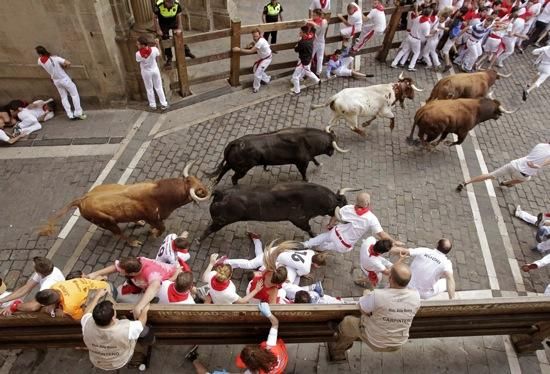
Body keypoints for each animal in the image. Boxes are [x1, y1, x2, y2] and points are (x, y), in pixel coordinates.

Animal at [39, 160, 211, 245]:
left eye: (198, 180)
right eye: (199, 191)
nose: (207, 190)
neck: (161, 194)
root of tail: (82, 199)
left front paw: (149, 230)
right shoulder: (154, 218)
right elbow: (162, 229)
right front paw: (153, 234)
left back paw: (139, 222)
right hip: (107, 222)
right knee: (118, 234)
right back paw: (134, 242)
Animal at [199, 183, 362, 241]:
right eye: (340, 206)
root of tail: (220, 193)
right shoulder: (299, 220)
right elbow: (309, 229)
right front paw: (314, 236)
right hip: (221, 221)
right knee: (209, 229)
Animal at [207, 127, 350, 186]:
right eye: (332, 146)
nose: (332, 154)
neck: (307, 140)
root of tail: (235, 142)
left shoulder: (308, 156)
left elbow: (314, 158)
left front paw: (319, 164)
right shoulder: (302, 162)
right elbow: (303, 172)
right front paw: (306, 179)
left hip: (232, 163)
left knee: (223, 170)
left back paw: (215, 181)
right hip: (242, 169)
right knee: (233, 177)